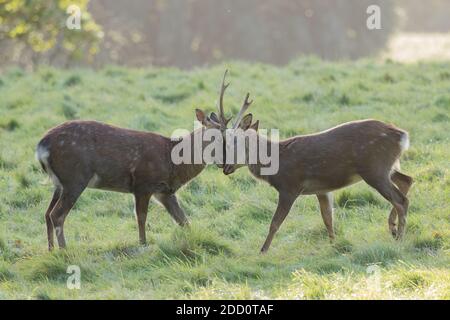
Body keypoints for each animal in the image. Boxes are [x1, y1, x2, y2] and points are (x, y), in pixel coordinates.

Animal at [36, 72, 230, 250]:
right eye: (217, 137)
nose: (226, 164)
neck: (173, 163)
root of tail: (42, 146)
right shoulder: (143, 184)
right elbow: (141, 217)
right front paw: (143, 244)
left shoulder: (164, 192)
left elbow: (183, 221)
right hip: (74, 177)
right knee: (57, 215)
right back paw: (64, 250)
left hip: (59, 183)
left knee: (47, 213)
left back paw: (51, 249)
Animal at [220, 80, 414, 252]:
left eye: (233, 143)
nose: (225, 167)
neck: (277, 162)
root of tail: (401, 135)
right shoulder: (322, 189)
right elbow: (327, 218)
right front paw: (334, 245)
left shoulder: (290, 187)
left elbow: (275, 223)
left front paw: (263, 251)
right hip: (386, 167)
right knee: (407, 180)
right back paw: (393, 228)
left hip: (374, 168)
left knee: (401, 200)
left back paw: (400, 237)